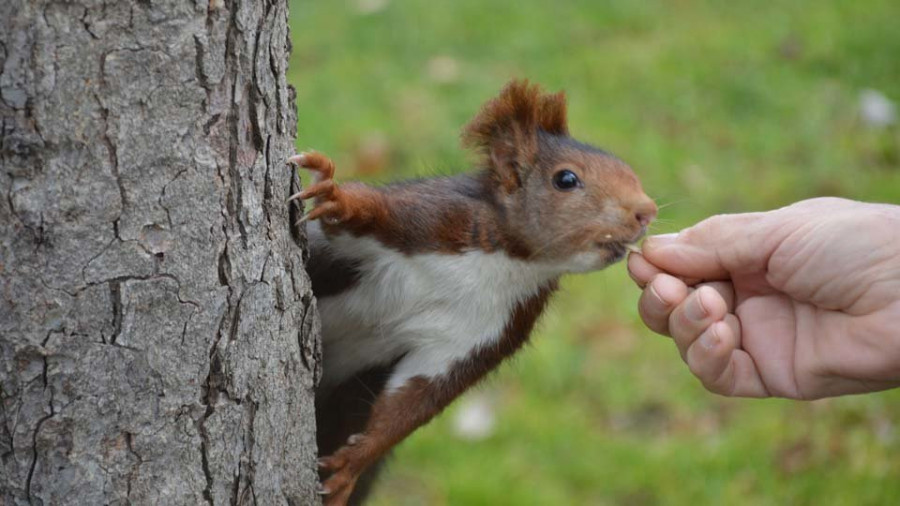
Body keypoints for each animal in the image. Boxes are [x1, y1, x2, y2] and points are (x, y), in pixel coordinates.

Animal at [292, 80, 656, 506]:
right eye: (566, 179)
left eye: (630, 172)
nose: (646, 211)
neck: (510, 260)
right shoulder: (427, 221)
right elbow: (362, 214)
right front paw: (333, 194)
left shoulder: (487, 331)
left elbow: (415, 398)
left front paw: (352, 465)